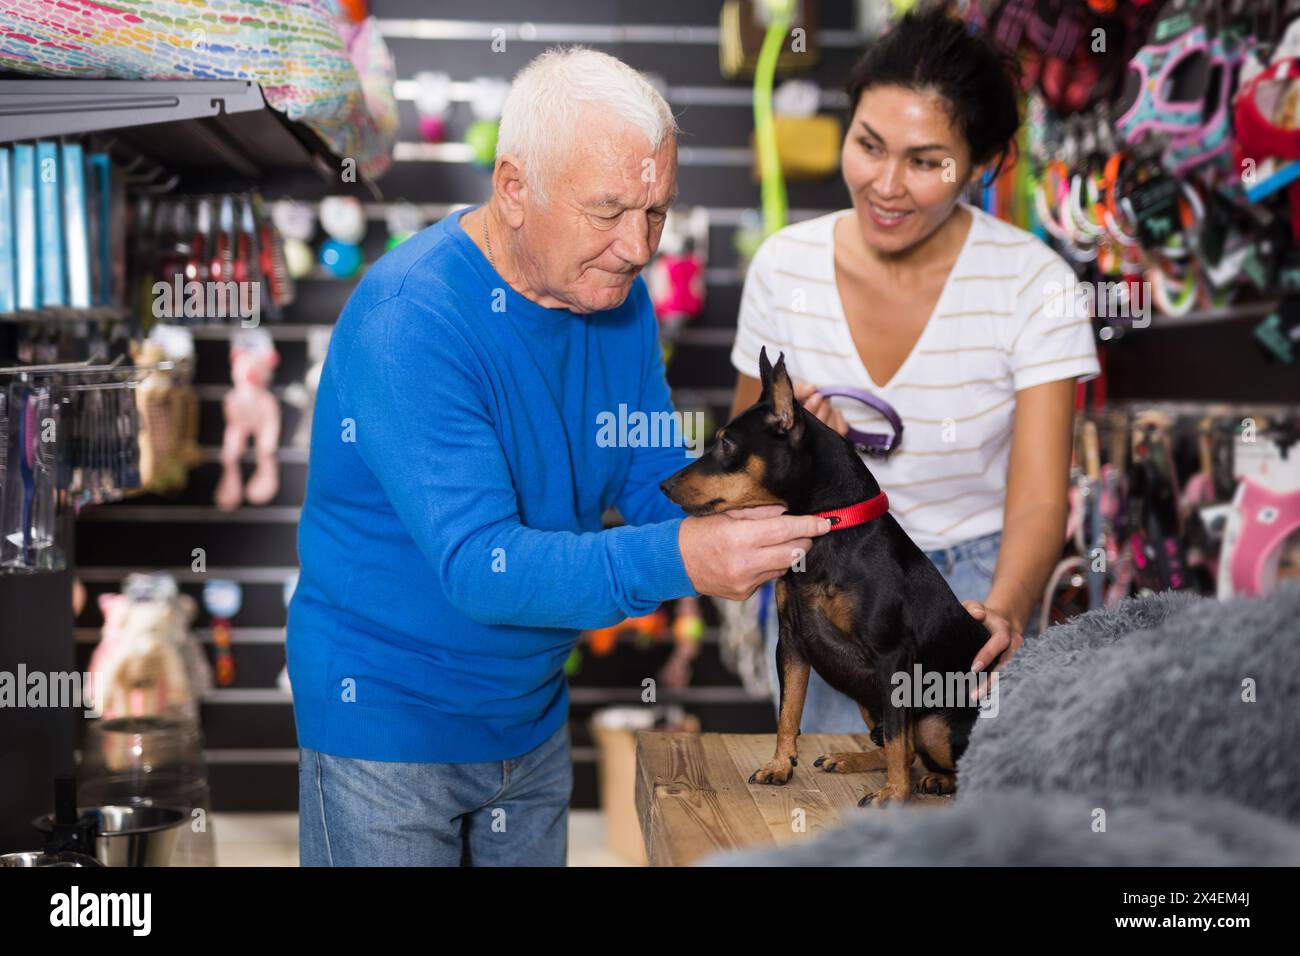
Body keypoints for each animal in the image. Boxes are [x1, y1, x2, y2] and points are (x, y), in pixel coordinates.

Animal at [665, 348, 987, 806]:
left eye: (726, 442)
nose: (665, 485)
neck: (831, 530)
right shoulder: (793, 643)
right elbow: (789, 711)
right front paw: (780, 766)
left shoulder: (892, 658)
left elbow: (895, 735)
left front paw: (893, 794)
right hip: (868, 699)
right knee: (906, 748)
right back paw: (851, 759)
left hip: (939, 722)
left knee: (930, 751)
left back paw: (936, 781)